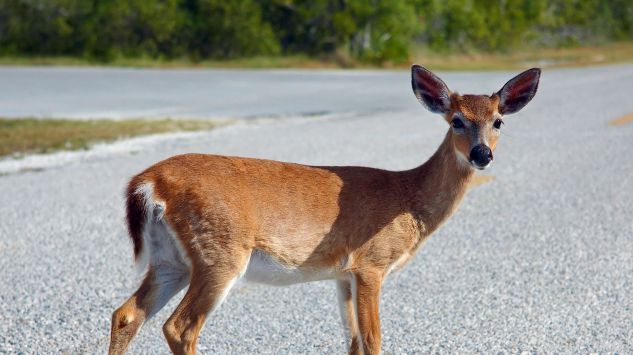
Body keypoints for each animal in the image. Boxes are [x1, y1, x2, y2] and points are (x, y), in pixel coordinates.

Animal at [107, 65, 540, 354]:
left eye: (498, 121)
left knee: (126, 314)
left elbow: (352, 342)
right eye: (456, 121)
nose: (481, 155)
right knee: (179, 328)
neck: (409, 201)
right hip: (220, 251)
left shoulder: (342, 274)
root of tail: (148, 181)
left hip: (171, 258)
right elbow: (373, 340)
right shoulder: (370, 264)